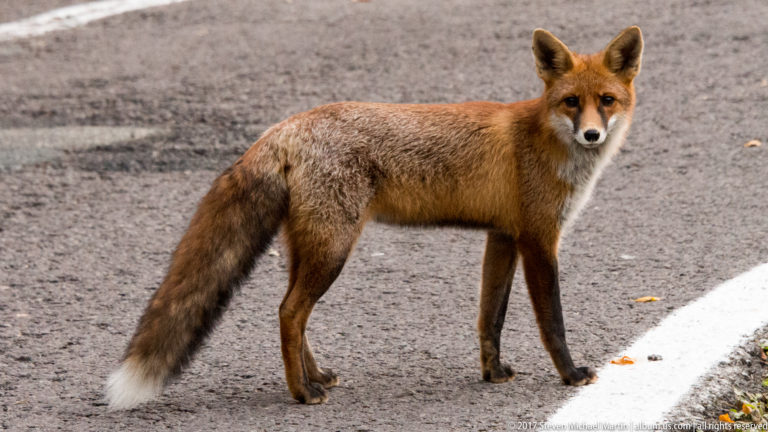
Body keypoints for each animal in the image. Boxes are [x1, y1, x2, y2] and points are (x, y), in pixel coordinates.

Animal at [106, 26, 643, 408]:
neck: (546, 141)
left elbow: (490, 317)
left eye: (607, 101)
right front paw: (570, 375)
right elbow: (552, 320)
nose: (592, 135)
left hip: (310, 247)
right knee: (289, 312)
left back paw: (316, 377)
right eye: (571, 102)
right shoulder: (538, 238)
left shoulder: (502, 236)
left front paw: (492, 373)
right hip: (334, 248)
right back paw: (301, 393)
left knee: (291, 312)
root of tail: (286, 126)